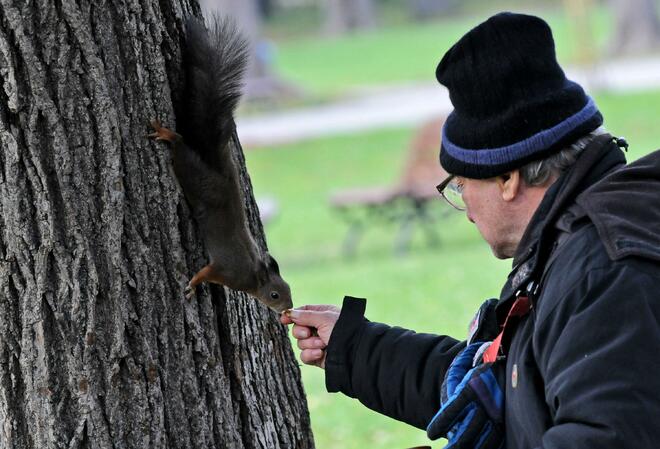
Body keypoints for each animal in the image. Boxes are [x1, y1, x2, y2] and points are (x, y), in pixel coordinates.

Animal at [150, 16, 294, 312]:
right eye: (275, 294)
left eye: (289, 289)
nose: (288, 308)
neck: (252, 276)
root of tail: (221, 173)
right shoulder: (227, 271)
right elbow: (204, 273)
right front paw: (193, 285)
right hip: (194, 176)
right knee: (180, 145)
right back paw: (167, 134)